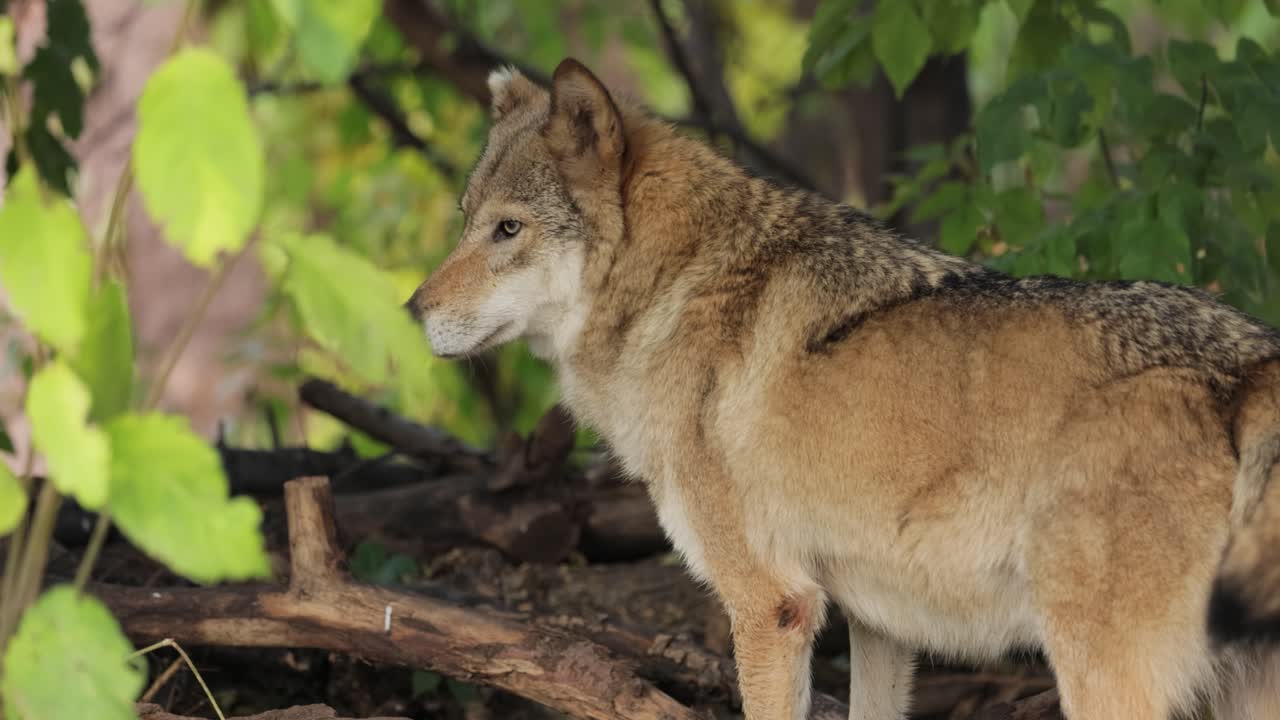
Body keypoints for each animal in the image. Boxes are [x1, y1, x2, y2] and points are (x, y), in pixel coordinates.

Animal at [406, 57, 1280, 719]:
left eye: (508, 230)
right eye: (467, 218)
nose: (412, 311)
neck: (678, 292)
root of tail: (1250, 366)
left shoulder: (771, 607)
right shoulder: (877, 623)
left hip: (1102, 678)